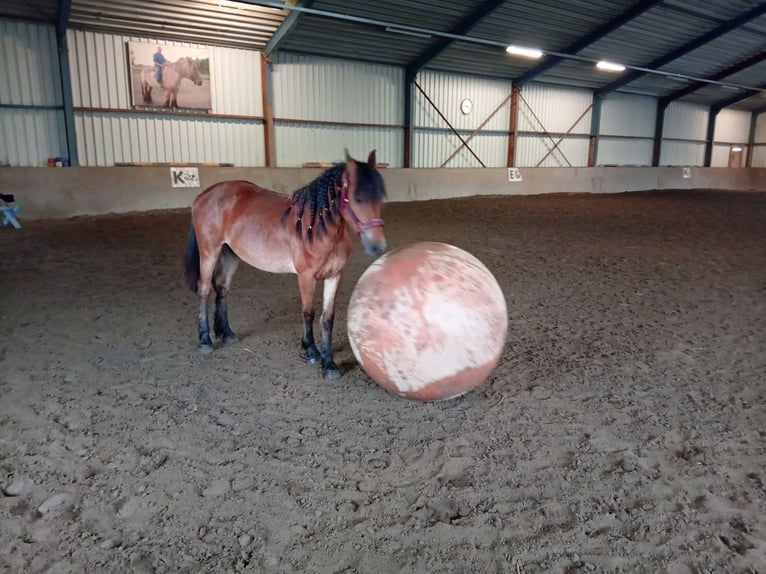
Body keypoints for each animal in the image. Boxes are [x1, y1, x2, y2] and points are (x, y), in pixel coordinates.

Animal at [181, 150, 387, 379]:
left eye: (380, 197)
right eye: (358, 198)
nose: (377, 246)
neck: (318, 228)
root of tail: (204, 195)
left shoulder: (335, 275)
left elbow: (327, 318)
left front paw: (329, 364)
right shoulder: (306, 277)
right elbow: (308, 313)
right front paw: (311, 351)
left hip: (230, 254)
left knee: (221, 288)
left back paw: (227, 333)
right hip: (209, 251)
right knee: (205, 289)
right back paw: (205, 341)